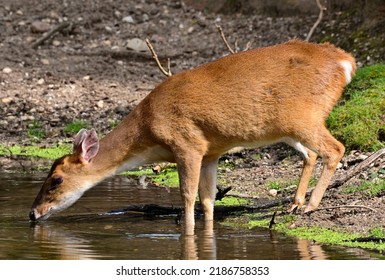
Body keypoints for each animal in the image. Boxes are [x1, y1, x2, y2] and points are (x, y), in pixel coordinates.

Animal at [28, 39, 356, 235]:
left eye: (55, 179)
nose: (32, 213)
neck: (149, 132)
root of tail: (346, 62)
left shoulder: (187, 143)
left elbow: (186, 195)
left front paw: (185, 230)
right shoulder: (211, 152)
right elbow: (208, 198)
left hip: (304, 115)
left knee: (335, 148)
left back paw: (311, 205)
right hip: (288, 127)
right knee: (311, 153)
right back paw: (295, 203)